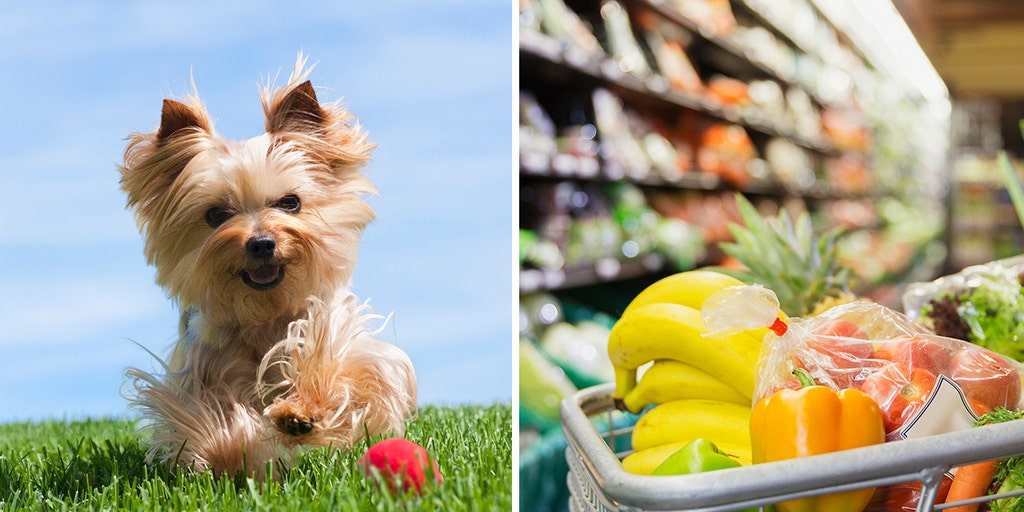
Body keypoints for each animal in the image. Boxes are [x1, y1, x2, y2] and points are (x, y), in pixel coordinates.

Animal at [121, 55, 417, 475]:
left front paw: (301, 413)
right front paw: (232, 450)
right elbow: (209, 416)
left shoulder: (341, 336)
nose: (261, 243)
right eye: (216, 215)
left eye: (290, 202)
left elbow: (347, 371)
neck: (265, 312)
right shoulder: (204, 367)